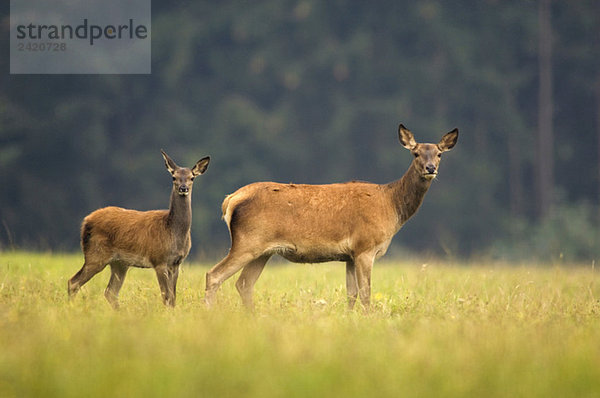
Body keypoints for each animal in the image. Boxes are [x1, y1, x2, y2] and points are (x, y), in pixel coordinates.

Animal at [66, 149, 209, 308]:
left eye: (192, 178)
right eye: (174, 177)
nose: (183, 188)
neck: (172, 230)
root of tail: (86, 221)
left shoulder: (176, 263)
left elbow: (173, 298)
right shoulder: (159, 260)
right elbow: (166, 297)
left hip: (119, 263)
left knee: (110, 292)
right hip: (96, 254)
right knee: (73, 282)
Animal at [204, 123, 458, 310]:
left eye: (439, 154)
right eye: (415, 153)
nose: (430, 168)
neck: (390, 206)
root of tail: (230, 200)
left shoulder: (350, 255)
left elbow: (351, 294)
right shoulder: (365, 247)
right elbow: (366, 293)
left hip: (263, 250)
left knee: (243, 284)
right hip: (248, 241)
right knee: (214, 275)